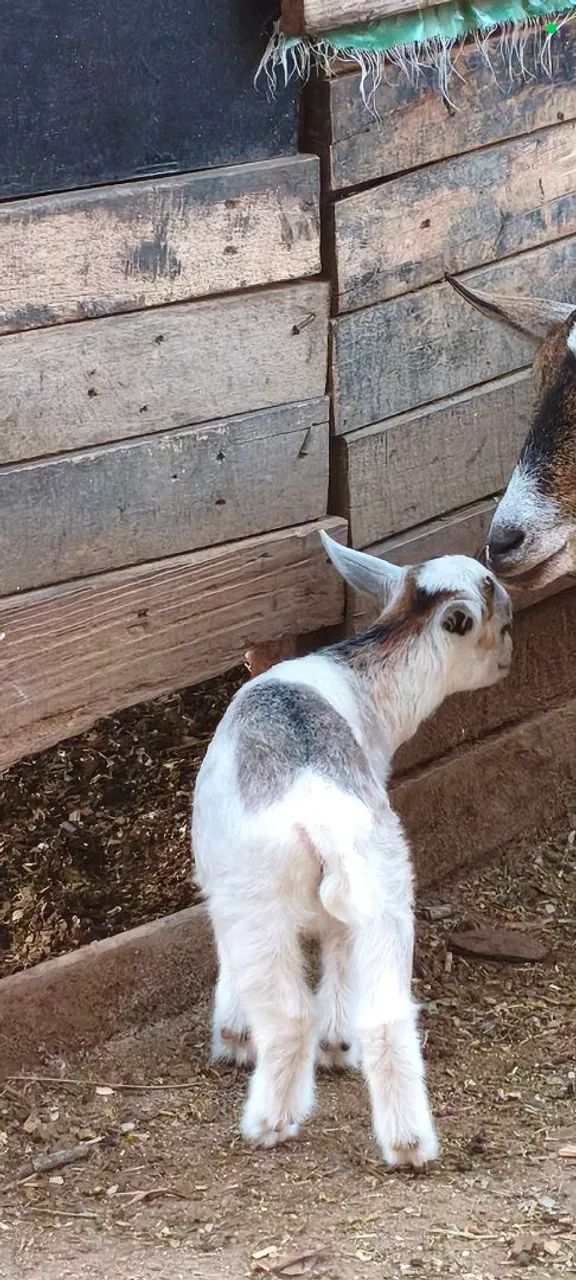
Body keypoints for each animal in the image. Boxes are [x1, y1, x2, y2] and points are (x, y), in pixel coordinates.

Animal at [192, 533, 513, 1167]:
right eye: (501, 620)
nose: (510, 654)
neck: (361, 678)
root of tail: (320, 804)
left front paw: (234, 1034)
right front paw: (335, 1044)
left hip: (257, 897)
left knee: (289, 1014)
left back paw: (270, 1120)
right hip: (382, 876)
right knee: (386, 1012)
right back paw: (409, 1143)